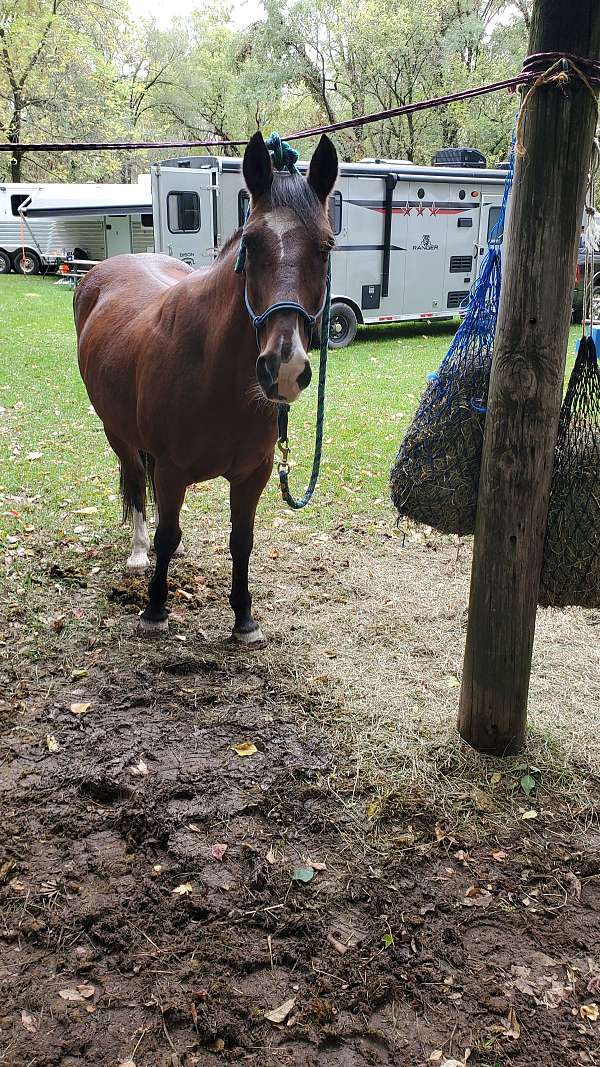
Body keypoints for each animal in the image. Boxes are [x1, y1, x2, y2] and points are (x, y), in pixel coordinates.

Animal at [73, 135, 337, 648]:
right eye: (250, 243)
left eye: (325, 247)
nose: (284, 366)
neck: (218, 377)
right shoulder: (172, 469)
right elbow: (167, 536)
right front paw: (155, 609)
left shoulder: (253, 473)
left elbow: (242, 540)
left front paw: (244, 618)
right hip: (117, 432)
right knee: (136, 481)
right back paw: (138, 553)